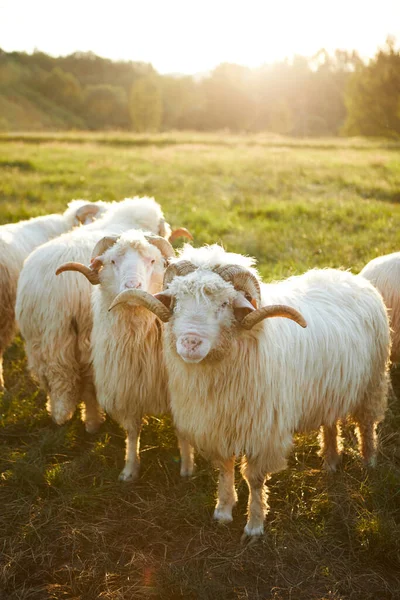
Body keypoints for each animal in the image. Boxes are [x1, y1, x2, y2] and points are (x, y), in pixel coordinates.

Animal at [15, 199, 191, 434]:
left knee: (50, 380)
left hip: (39, 343)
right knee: (89, 385)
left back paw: (56, 413)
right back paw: (92, 422)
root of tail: (51, 291)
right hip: (85, 340)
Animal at [55, 231, 194, 482]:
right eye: (112, 261)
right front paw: (130, 470)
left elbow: (182, 430)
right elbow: (132, 431)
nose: (132, 286)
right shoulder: (127, 387)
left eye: (152, 260)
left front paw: (187, 468)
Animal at [109, 246, 390, 536]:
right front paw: (223, 510)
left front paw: (254, 525)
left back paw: (369, 462)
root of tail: (348, 276)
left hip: (373, 384)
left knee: (366, 425)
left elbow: (254, 479)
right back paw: (332, 462)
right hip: (330, 391)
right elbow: (225, 468)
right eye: (176, 301)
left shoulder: (263, 433)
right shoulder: (216, 426)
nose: (189, 343)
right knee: (330, 422)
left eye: (224, 304)